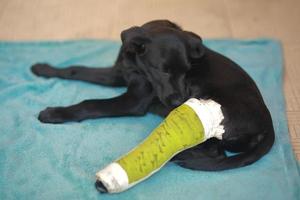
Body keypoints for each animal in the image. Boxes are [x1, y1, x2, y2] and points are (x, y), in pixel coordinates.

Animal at [31, 19, 274, 175]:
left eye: (187, 71)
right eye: (163, 70)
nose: (177, 103)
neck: (136, 65)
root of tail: (269, 125)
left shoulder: (134, 100)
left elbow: (90, 104)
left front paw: (54, 113)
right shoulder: (116, 74)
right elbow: (76, 70)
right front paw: (43, 69)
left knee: (217, 152)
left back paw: (181, 156)